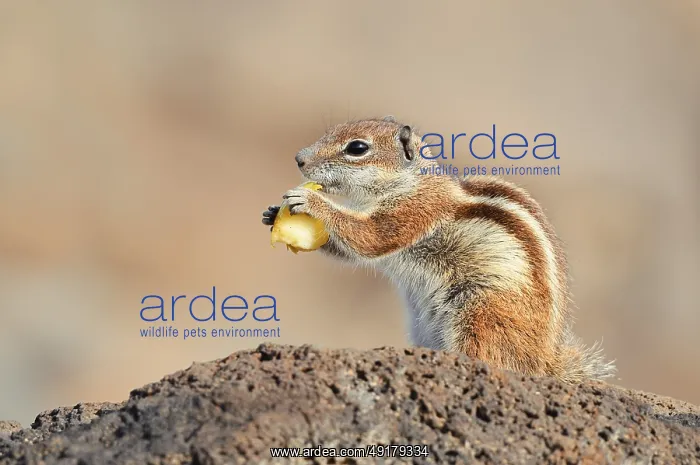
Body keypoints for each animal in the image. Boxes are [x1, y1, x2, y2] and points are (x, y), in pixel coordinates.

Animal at [262, 116, 616, 384]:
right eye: (330, 131)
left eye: (357, 148)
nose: (299, 159)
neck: (409, 181)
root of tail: (543, 360)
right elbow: (353, 249)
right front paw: (271, 214)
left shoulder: (416, 211)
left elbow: (371, 237)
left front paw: (312, 201)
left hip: (481, 312)